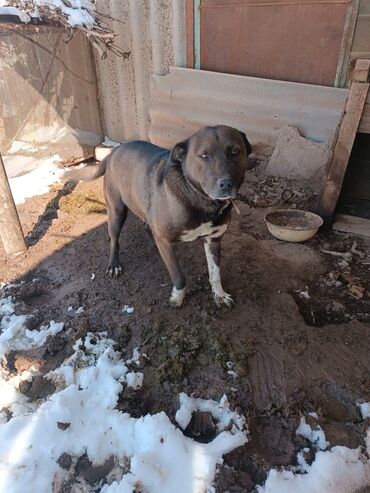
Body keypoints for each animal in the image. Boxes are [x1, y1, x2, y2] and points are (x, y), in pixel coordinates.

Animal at [65, 125, 253, 306]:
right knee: (114, 240)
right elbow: (179, 277)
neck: (201, 201)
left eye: (236, 151)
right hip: (116, 212)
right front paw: (177, 298)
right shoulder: (165, 239)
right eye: (204, 155)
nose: (226, 184)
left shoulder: (213, 240)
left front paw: (219, 295)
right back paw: (114, 264)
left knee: (147, 227)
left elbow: (215, 273)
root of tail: (114, 151)